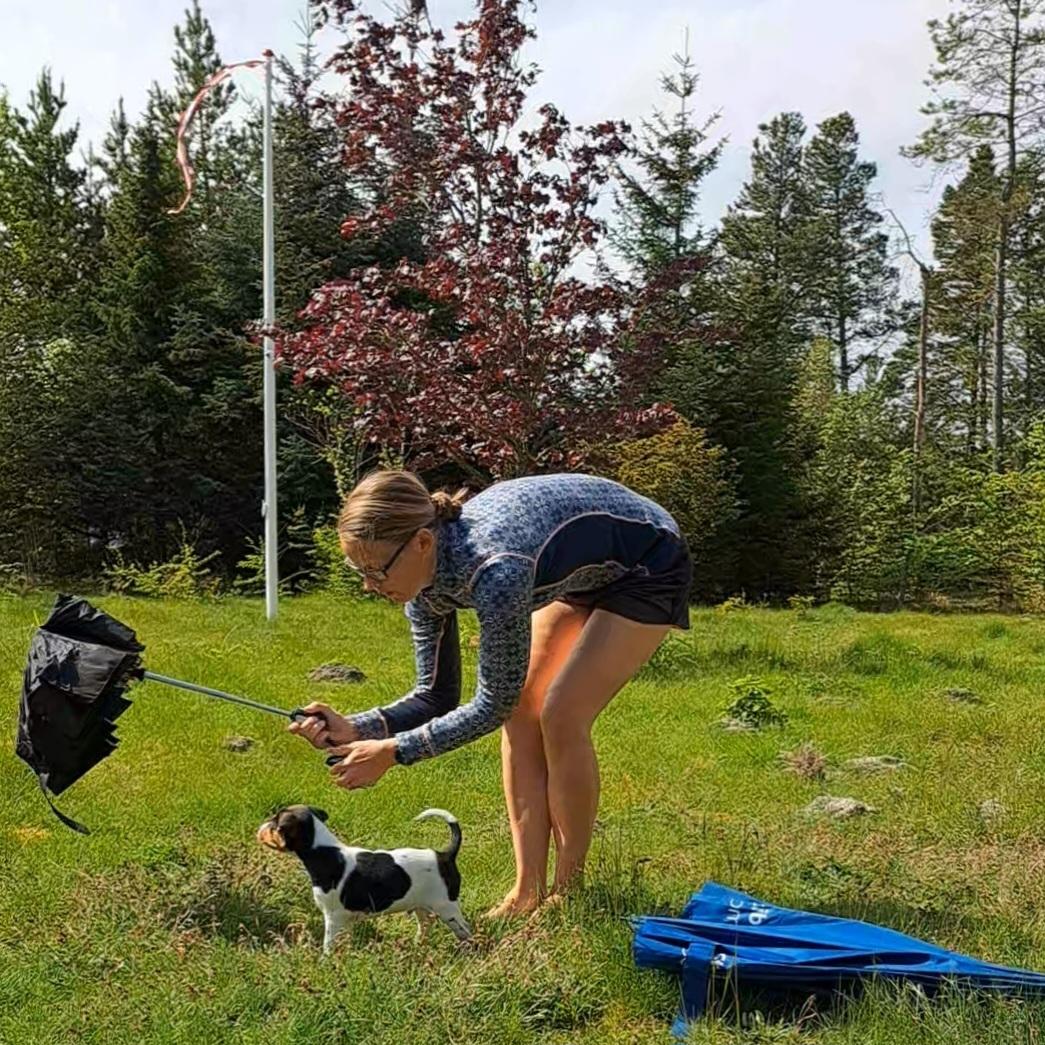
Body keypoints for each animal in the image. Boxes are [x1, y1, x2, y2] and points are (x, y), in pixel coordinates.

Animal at [257, 798, 470, 957]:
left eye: (275, 823)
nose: (260, 827)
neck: (323, 851)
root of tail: (445, 855)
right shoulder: (345, 920)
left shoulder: (332, 917)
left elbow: (328, 945)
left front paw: (325, 962)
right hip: (422, 906)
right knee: (425, 925)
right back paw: (417, 944)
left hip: (447, 908)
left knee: (465, 930)